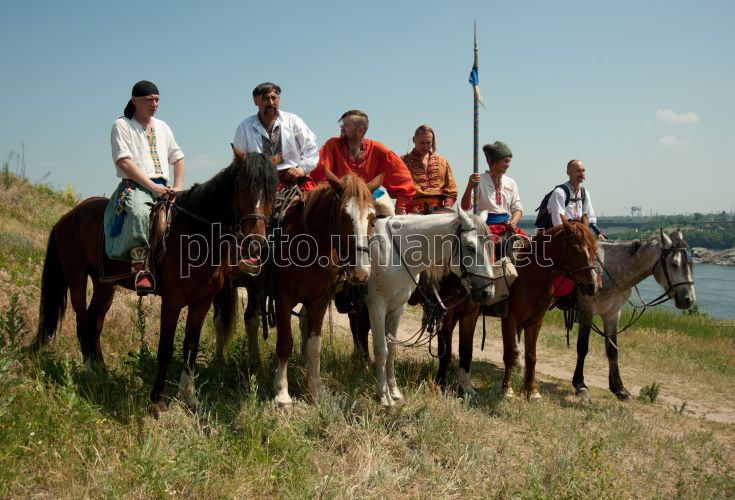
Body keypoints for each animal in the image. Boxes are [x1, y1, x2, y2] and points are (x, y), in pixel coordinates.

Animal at [33, 149, 277, 412]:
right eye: (242, 186)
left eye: (272, 191)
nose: (256, 243)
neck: (195, 235)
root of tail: (67, 216)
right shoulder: (172, 301)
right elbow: (166, 348)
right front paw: (158, 400)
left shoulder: (202, 302)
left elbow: (190, 348)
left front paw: (188, 398)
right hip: (76, 277)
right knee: (82, 320)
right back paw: (88, 370)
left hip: (104, 285)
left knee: (95, 321)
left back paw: (102, 372)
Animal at [214, 171, 381, 411]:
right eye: (343, 215)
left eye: (372, 217)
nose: (360, 271)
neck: (307, 245)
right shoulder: (283, 299)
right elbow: (285, 343)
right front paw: (282, 394)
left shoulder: (319, 302)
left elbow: (314, 345)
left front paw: (317, 390)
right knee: (219, 321)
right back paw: (219, 359)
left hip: (255, 289)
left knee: (251, 320)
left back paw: (255, 363)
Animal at [365, 208, 496, 407]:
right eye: (471, 247)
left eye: (492, 247)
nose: (488, 292)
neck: (391, 253)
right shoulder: (377, 307)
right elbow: (381, 349)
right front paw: (384, 396)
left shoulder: (397, 308)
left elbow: (392, 349)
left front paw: (394, 391)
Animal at [572, 229, 696, 401]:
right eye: (674, 264)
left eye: (691, 264)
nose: (688, 299)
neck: (609, 269)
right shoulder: (587, 311)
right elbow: (582, 347)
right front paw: (580, 385)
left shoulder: (613, 314)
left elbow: (612, 351)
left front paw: (619, 388)